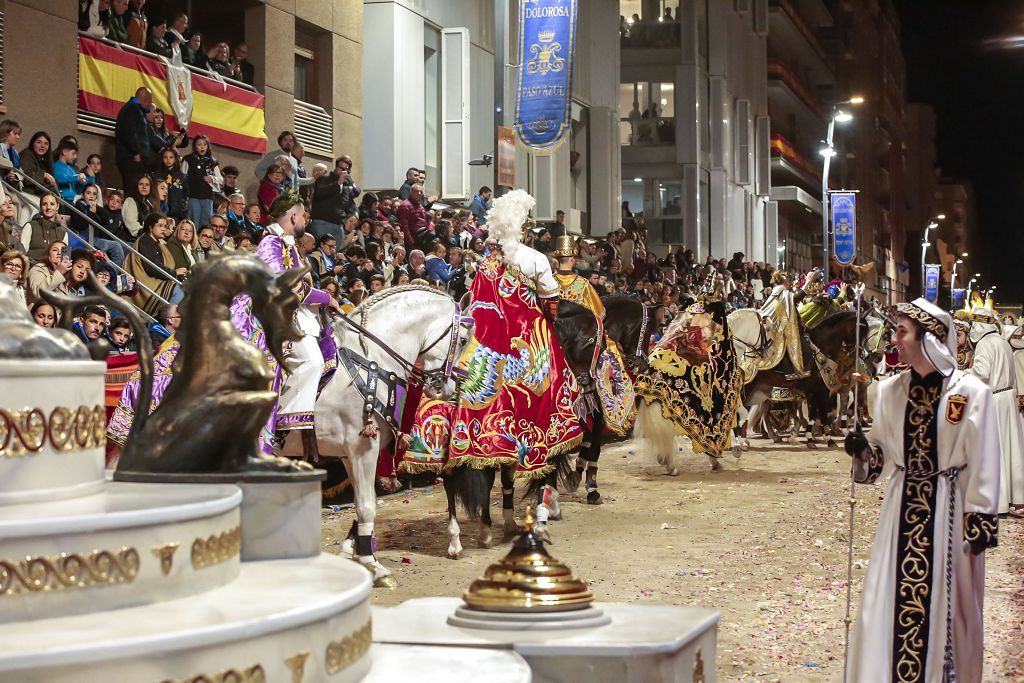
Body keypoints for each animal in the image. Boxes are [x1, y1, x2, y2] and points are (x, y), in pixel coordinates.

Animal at [313, 284, 473, 589]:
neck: (369, 359)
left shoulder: (349, 454)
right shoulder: (363, 447)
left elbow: (363, 503)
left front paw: (354, 550)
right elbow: (367, 507)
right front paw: (373, 565)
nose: (447, 388)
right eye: (462, 340)